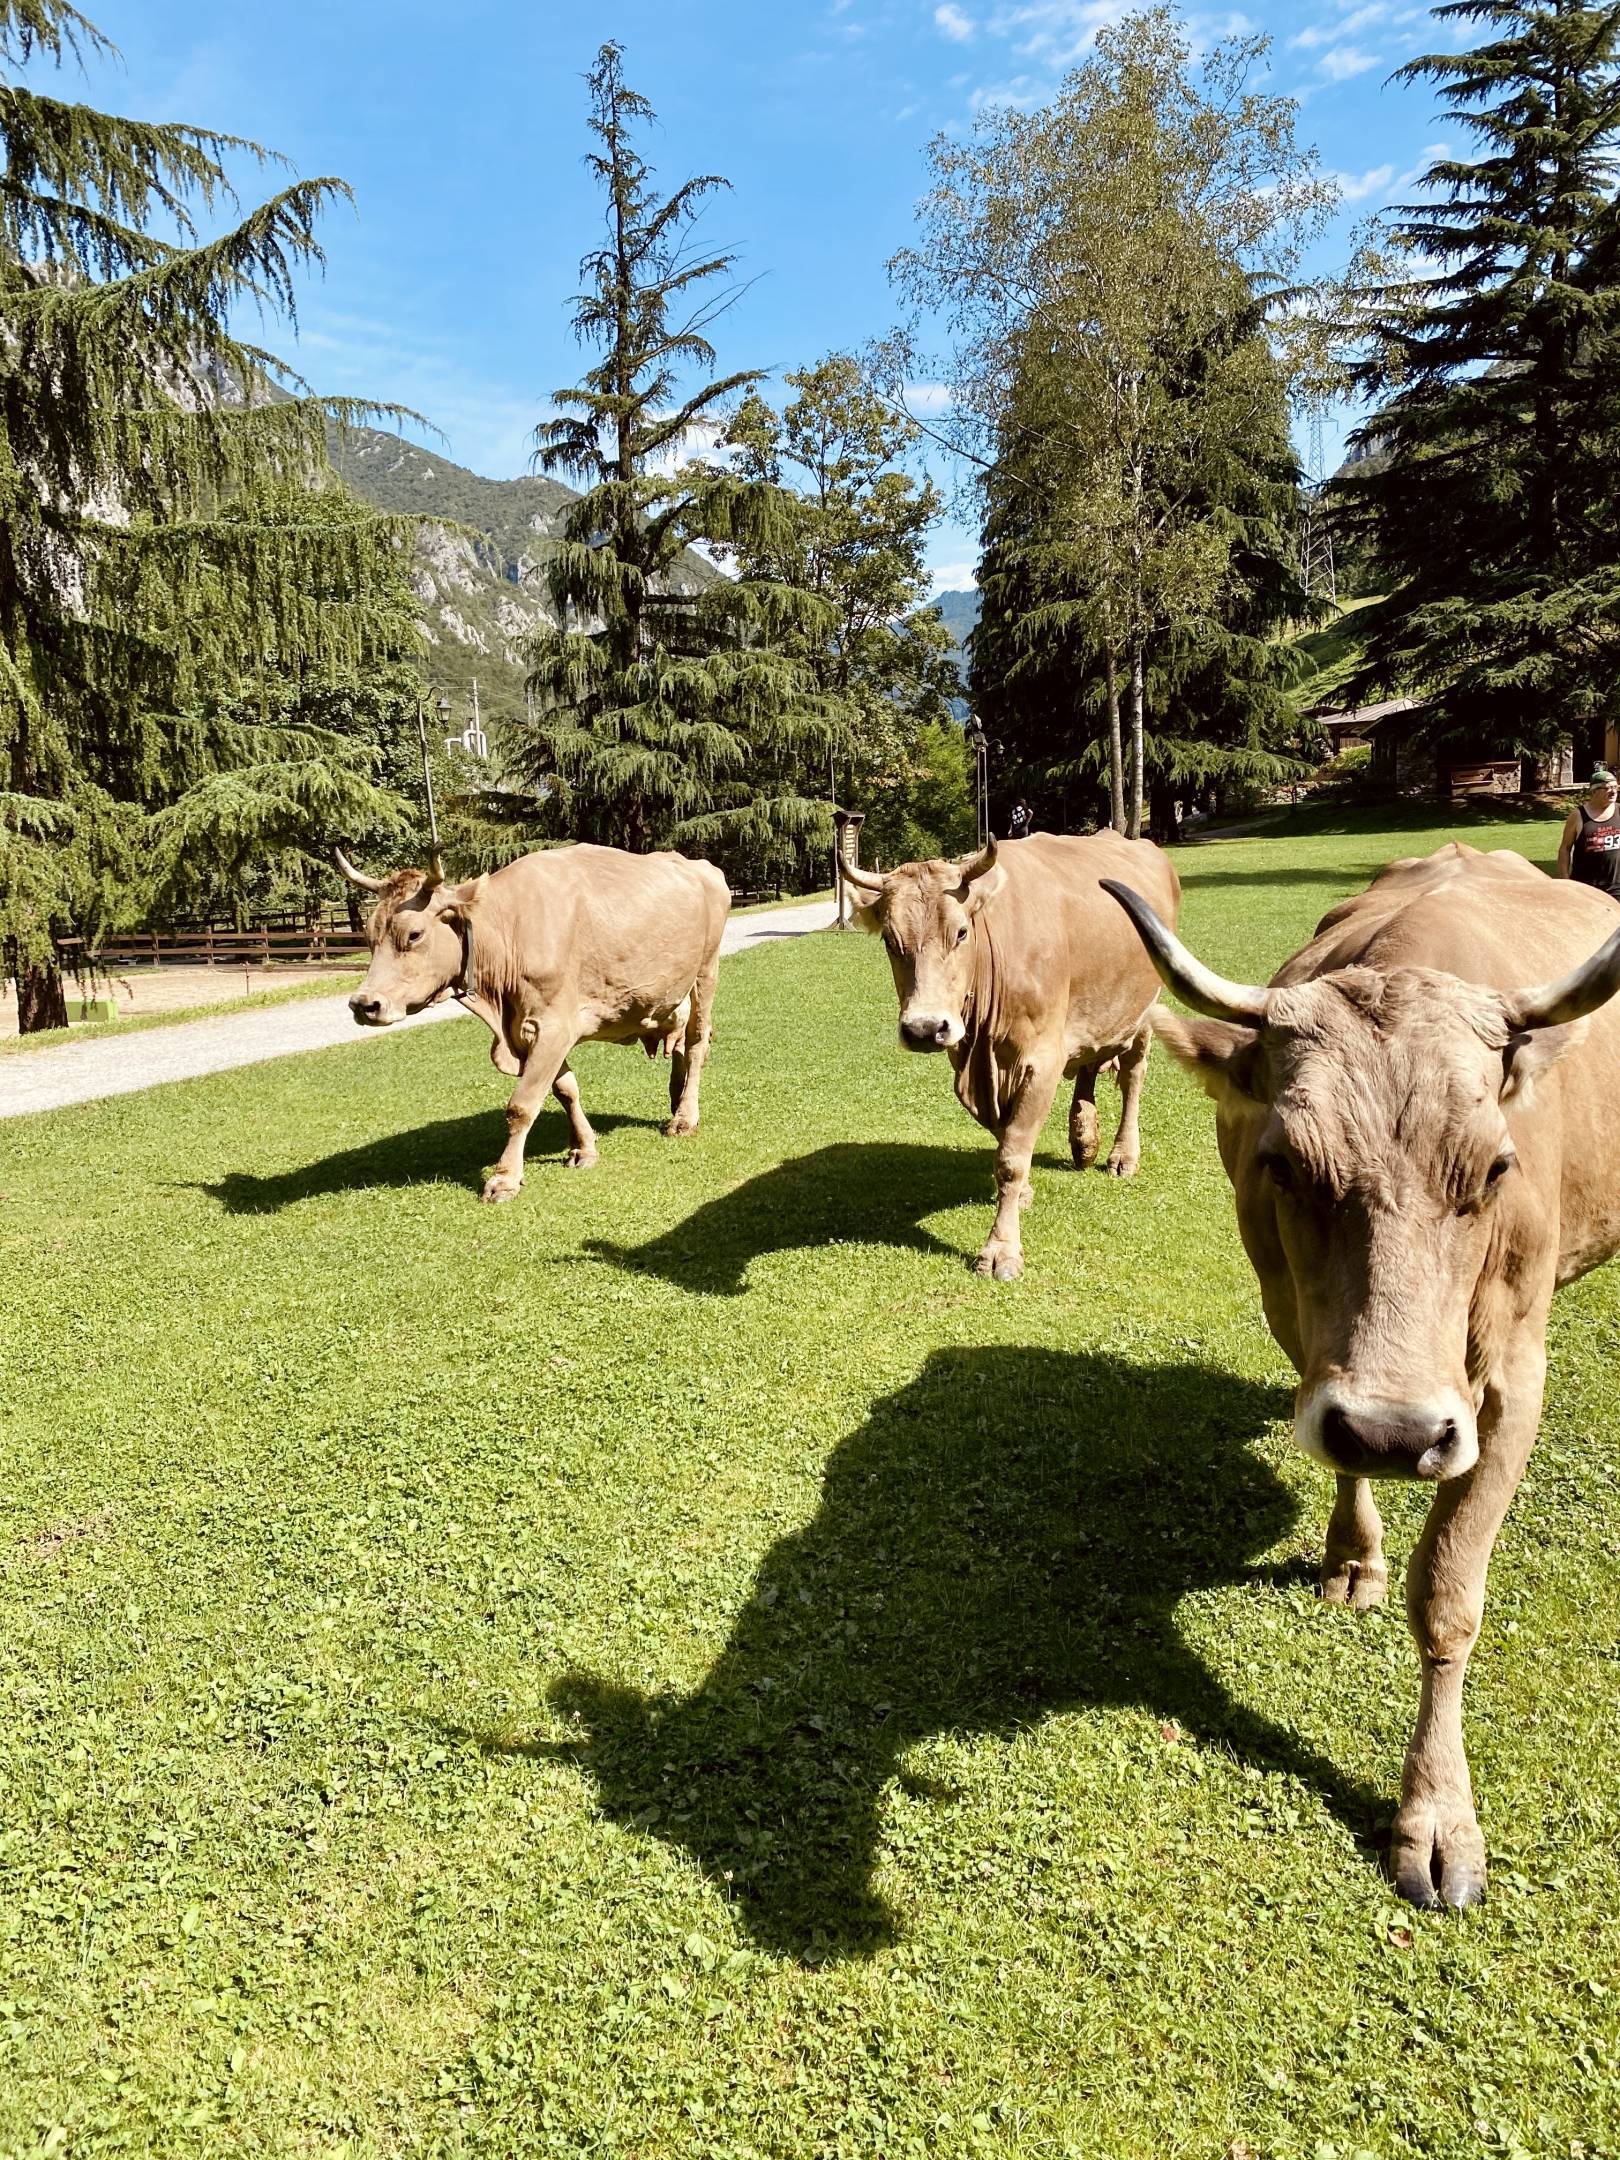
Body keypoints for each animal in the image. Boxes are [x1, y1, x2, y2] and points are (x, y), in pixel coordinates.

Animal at [339, 838, 734, 1200]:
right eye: (369, 936)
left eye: (414, 934)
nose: (364, 1004)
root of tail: (700, 866)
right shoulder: (528, 1031)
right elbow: (565, 1089)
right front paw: (584, 1148)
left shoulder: (554, 1026)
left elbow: (522, 1105)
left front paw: (504, 1178)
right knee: (680, 1039)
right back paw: (677, 1097)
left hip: (706, 973)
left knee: (696, 1043)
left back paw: (684, 1118)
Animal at [838, 816, 1183, 1270]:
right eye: (889, 941)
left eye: (961, 932)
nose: (925, 1028)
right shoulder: (974, 1064)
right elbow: (1006, 1135)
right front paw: (1023, 1195)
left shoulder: (1041, 1060)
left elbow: (1011, 1157)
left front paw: (1001, 1248)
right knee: (1088, 1067)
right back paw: (1084, 1139)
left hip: (1145, 1009)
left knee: (1132, 1078)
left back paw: (1122, 1154)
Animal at [1114, 842, 1620, 1909]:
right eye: (1284, 1162)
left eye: (1496, 1168)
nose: (1399, 1432)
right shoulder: (1300, 1330)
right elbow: (1340, 1455)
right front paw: (1354, 1557)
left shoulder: (1510, 1384)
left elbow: (1452, 1594)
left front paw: (1437, 1816)